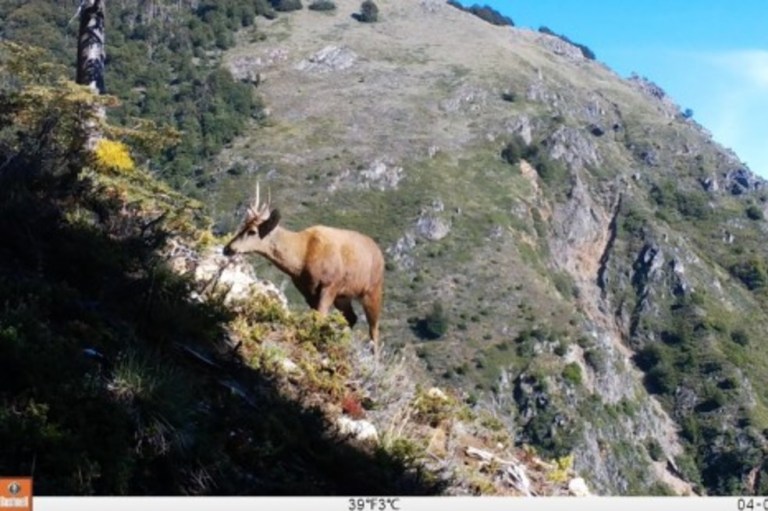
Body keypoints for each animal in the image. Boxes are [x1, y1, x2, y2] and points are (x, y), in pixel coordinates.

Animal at [223, 183, 385, 354]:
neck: (301, 258)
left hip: (373, 290)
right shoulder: (306, 289)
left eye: (252, 231)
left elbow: (320, 317)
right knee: (351, 317)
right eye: (243, 225)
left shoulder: (330, 284)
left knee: (374, 329)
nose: (228, 248)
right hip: (343, 295)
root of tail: (379, 254)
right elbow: (314, 317)